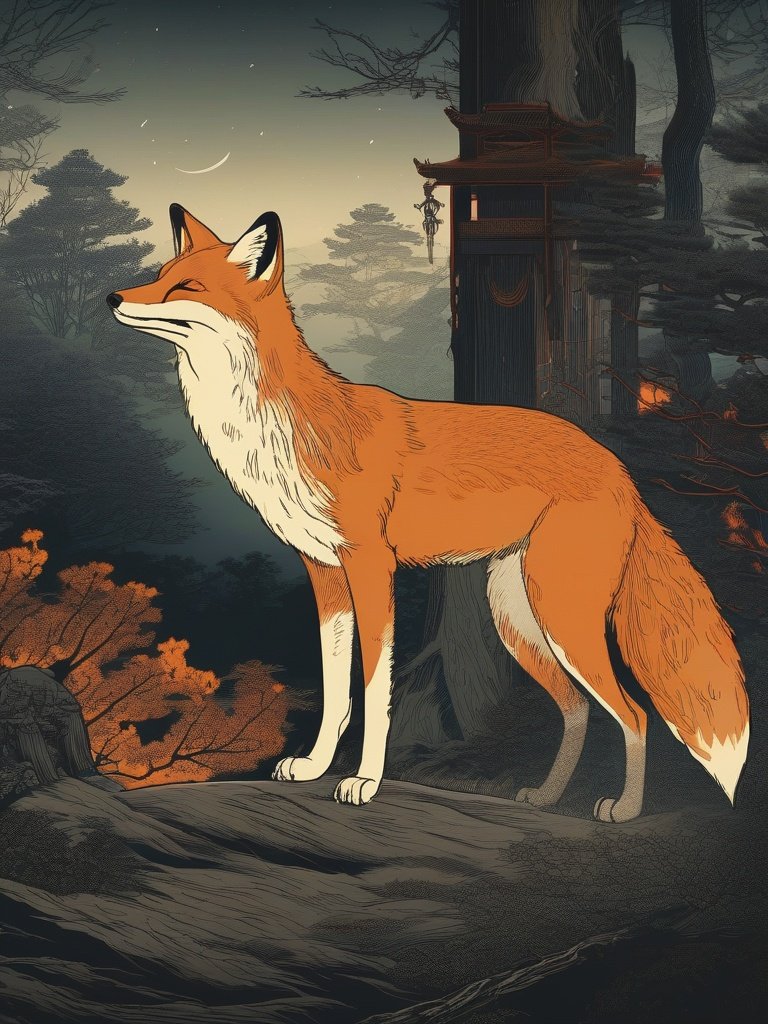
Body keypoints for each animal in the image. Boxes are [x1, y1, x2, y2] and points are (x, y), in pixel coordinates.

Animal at [107, 204, 750, 822]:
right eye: (160, 275)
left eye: (185, 286)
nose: (113, 297)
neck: (287, 432)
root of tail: (619, 469)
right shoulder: (325, 574)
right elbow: (335, 691)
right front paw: (315, 766)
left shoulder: (372, 568)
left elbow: (374, 693)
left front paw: (364, 781)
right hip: (517, 619)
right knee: (576, 710)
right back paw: (545, 797)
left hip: (562, 617)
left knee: (634, 714)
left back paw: (623, 810)